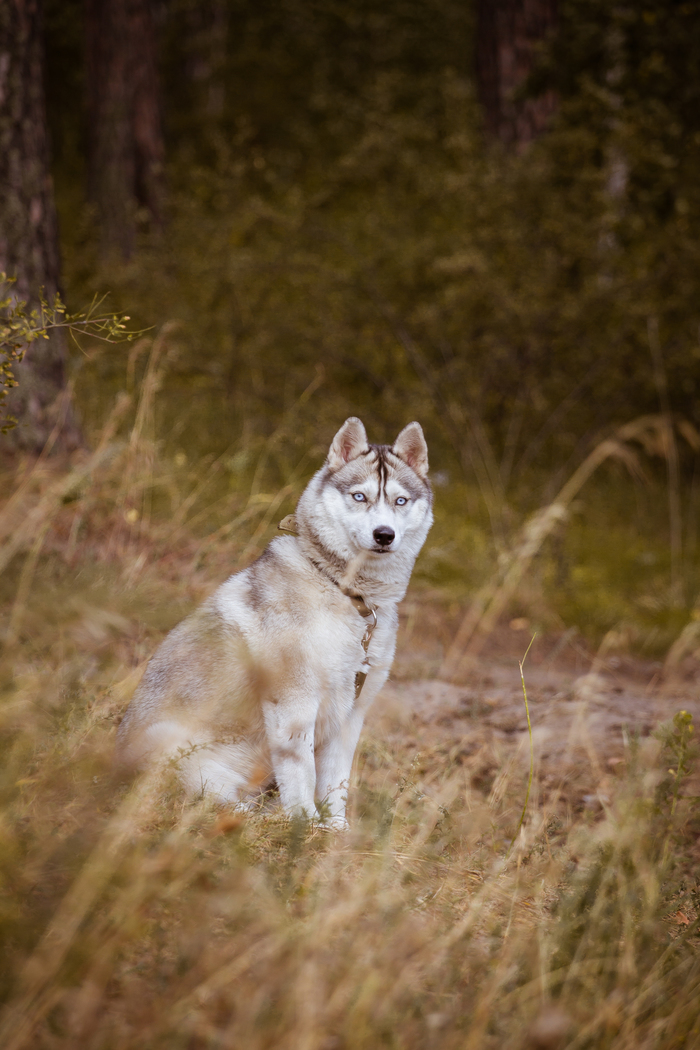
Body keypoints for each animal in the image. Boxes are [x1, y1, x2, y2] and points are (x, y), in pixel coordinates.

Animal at [115, 417, 432, 827]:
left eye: (400, 501)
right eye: (359, 497)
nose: (384, 535)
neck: (346, 592)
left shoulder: (352, 714)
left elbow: (336, 783)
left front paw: (335, 830)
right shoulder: (294, 704)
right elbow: (303, 774)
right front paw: (305, 826)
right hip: (175, 748)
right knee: (215, 805)